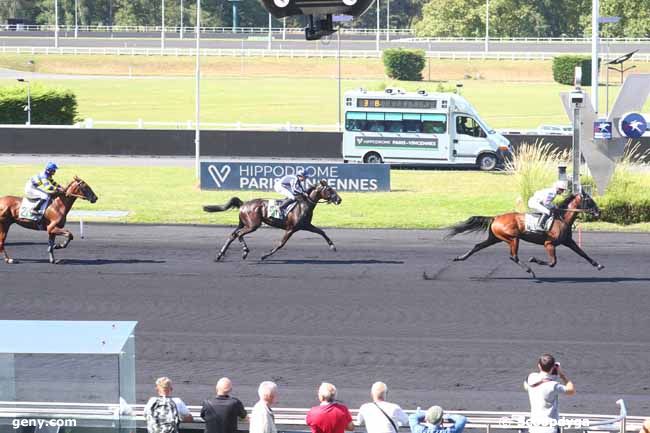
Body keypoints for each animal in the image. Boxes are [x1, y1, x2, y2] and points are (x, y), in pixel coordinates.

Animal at [204, 178, 342, 260]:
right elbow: (281, 244)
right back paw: (244, 251)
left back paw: (220, 255)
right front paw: (264, 255)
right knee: (239, 234)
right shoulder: (291, 228)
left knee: (233, 235)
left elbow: (321, 231)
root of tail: (244, 204)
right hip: (252, 225)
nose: (339, 200)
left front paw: (332, 246)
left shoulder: (305, 225)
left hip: (244, 223)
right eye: (329, 189)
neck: (304, 204)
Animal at [446, 192, 604, 276]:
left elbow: (582, 253)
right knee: (513, 256)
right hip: (513, 238)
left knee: (477, 246)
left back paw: (460, 258)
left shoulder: (568, 241)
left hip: (495, 238)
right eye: (589, 200)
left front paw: (598, 265)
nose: (598, 211)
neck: (562, 218)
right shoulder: (549, 244)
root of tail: (495, 217)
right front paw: (534, 259)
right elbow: (553, 262)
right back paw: (529, 270)